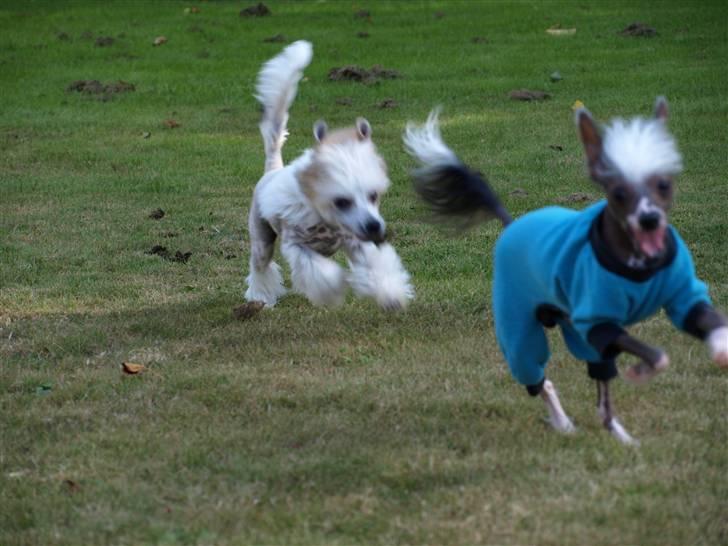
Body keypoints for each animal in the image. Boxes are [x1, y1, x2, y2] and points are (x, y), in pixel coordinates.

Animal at [245, 40, 412, 308]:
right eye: (341, 201)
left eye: (374, 196)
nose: (374, 227)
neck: (326, 221)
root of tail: (273, 169)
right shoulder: (296, 246)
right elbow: (319, 273)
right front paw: (336, 288)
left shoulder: (356, 241)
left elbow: (376, 266)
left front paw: (390, 293)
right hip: (262, 236)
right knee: (260, 266)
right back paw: (260, 297)